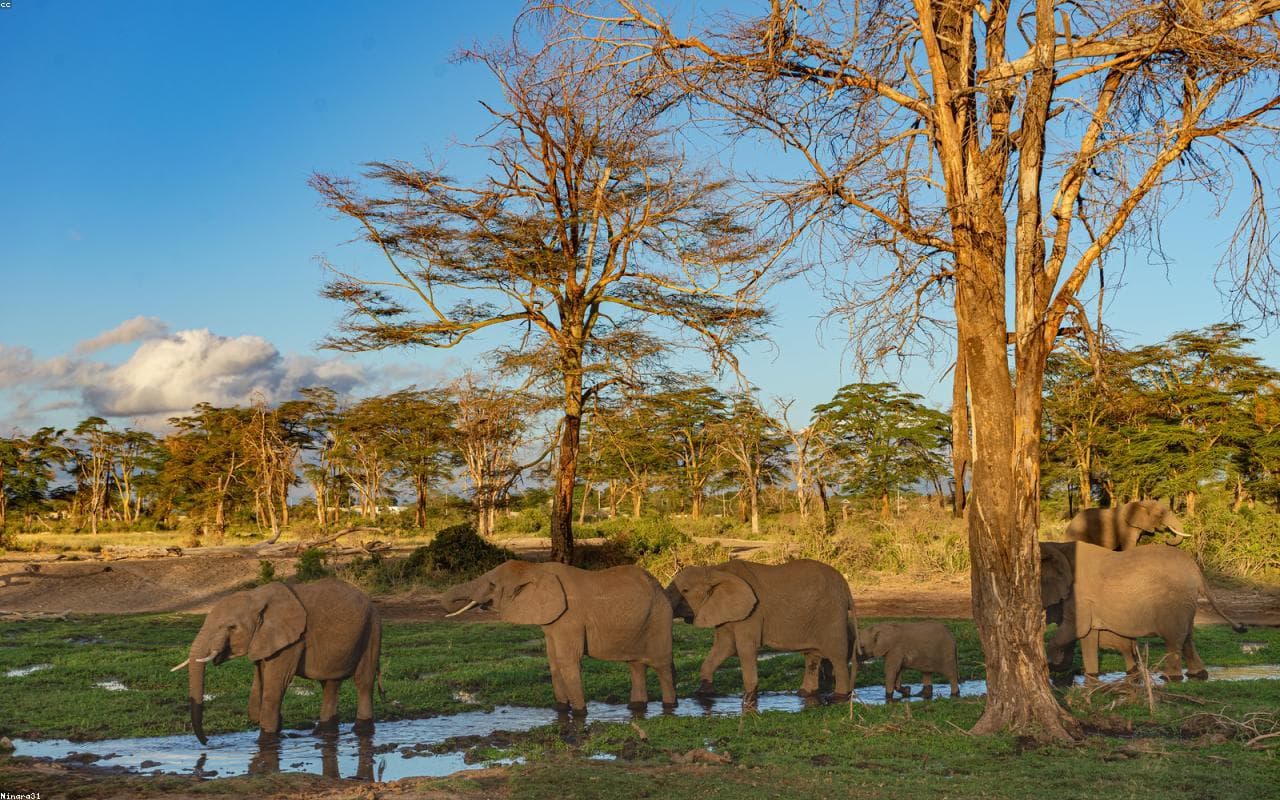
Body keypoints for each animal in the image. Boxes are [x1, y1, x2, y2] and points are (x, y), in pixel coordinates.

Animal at [171, 578, 381, 744]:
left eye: (231, 627)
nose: (207, 742)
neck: (256, 598)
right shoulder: (263, 640)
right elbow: (261, 682)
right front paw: (276, 726)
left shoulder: (293, 641)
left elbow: (276, 685)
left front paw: (267, 739)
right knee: (330, 684)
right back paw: (323, 733)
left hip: (371, 628)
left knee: (363, 681)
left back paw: (361, 731)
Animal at [440, 560, 676, 714]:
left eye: (492, 585)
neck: (536, 569)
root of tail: (660, 586)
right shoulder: (553, 623)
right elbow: (553, 662)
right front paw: (561, 710)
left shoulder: (569, 618)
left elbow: (567, 661)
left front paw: (579, 713)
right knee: (635, 665)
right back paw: (636, 707)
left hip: (660, 618)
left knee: (662, 666)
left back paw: (670, 706)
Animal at [664, 558, 858, 705]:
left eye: (685, 590)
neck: (714, 570)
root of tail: (846, 587)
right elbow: (724, 646)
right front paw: (703, 692)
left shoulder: (752, 613)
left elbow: (745, 648)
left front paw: (748, 698)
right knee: (812, 655)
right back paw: (804, 694)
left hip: (831, 613)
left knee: (836, 655)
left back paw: (838, 698)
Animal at [1039, 541, 1246, 681]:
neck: (1059, 546)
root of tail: (1196, 570)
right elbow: (1087, 635)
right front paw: (1089, 674)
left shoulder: (1079, 596)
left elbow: (1076, 629)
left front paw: (1051, 664)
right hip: (1186, 603)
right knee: (1187, 638)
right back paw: (1198, 674)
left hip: (1173, 603)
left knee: (1173, 639)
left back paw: (1169, 678)